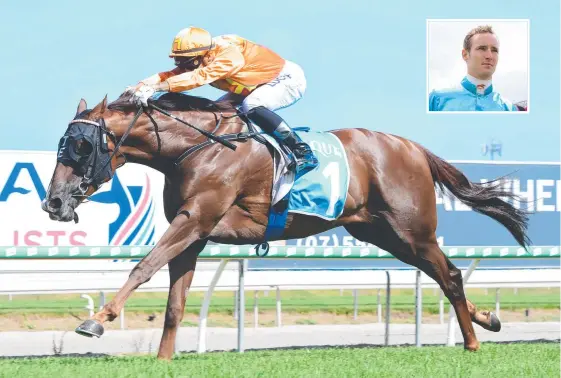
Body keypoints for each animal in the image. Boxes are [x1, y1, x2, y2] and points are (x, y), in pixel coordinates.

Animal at [41, 92, 528, 360]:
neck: (196, 148)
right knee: (445, 274)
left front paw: (97, 319)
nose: (54, 201)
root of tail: (411, 146)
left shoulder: (195, 219)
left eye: (82, 146)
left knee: (450, 274)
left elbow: (143, 266)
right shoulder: (194, 235)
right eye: (63, 143)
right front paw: (163, 360)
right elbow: (175, 303)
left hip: (413, 231)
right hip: (383, 234)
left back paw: (472, 342)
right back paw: (486, 319)